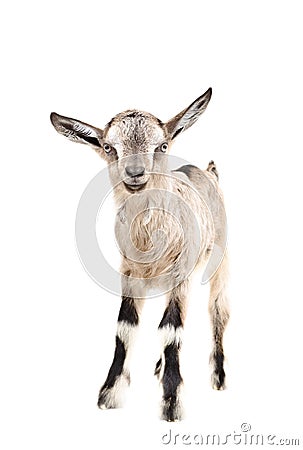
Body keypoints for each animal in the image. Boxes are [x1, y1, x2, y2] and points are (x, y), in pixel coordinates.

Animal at [50, 89, 230, 422]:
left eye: (162, 145)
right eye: (109, 147)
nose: (135, 173)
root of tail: (207, 171)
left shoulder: (181, 274)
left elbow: (172, 329)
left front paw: (171, 404)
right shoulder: (129, 275)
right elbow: (125, 328)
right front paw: (109, 395)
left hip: (221, 259)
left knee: (218, 309)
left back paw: (219, 377)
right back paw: (159, 368)